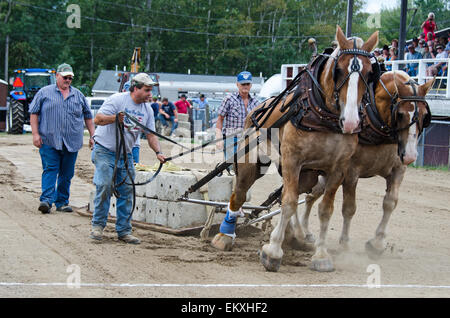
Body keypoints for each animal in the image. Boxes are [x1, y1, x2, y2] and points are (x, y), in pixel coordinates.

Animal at [298, 71, 434, 260]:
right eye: (400, 114)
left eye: (424, 115)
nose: (411, 156)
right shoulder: (351, 172)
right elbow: (349, 208)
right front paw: (345, 244)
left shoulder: (398, 170)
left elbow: (390, 202)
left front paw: (377, 243)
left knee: (311, 195)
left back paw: (304, 231)